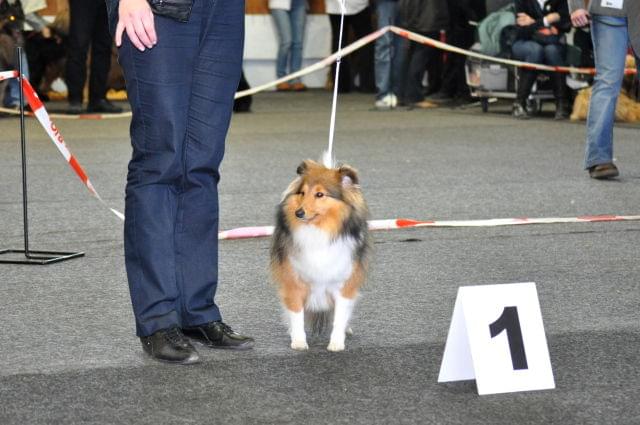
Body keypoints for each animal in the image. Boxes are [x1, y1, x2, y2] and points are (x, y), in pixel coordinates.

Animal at [270, 156, 369, 352]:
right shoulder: (293, 280)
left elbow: (339, 316)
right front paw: (299, 341)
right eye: (302, 193)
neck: (318, 231)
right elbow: (296, 314)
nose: (299, 213)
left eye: (320, 194)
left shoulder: (343, 282)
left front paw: (336, 343)